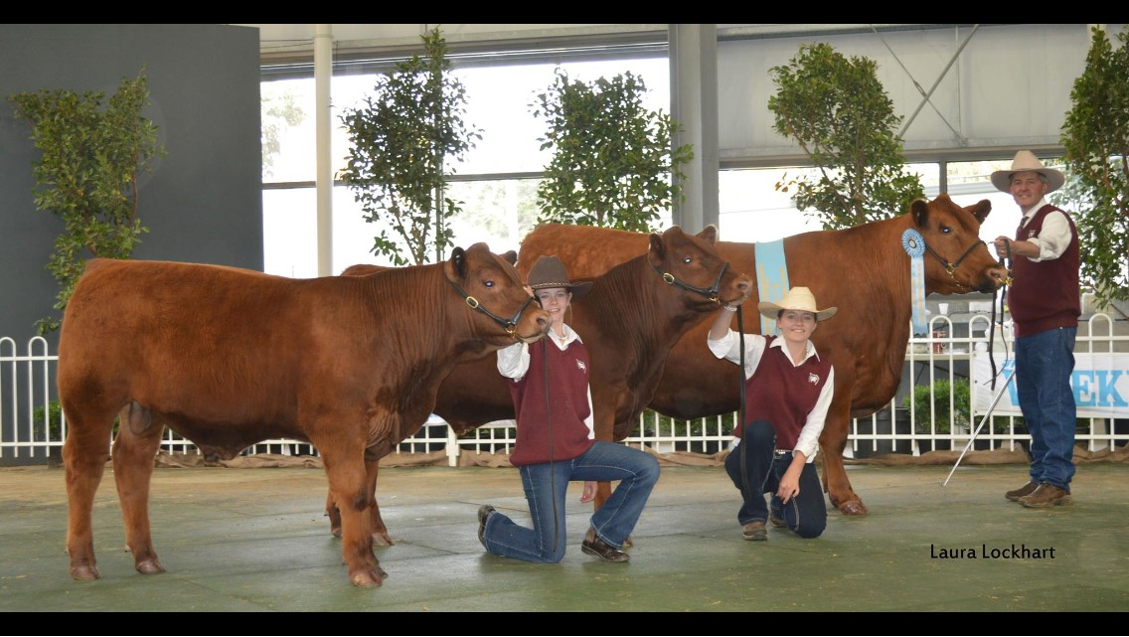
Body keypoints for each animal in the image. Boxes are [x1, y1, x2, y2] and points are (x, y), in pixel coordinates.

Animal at [57, 243, 550, 587]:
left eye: (516, 275)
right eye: (488, 282)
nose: (541, 320)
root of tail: (105, 267)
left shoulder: (370, 433)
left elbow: (363, 495)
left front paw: (370, 558)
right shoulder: (341, 427)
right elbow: (353, 493)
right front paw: (362, 570)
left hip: (143, 411)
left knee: (132, 470)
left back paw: (146, 558)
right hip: (89, 402)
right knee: (84, 470)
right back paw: (83, 563)